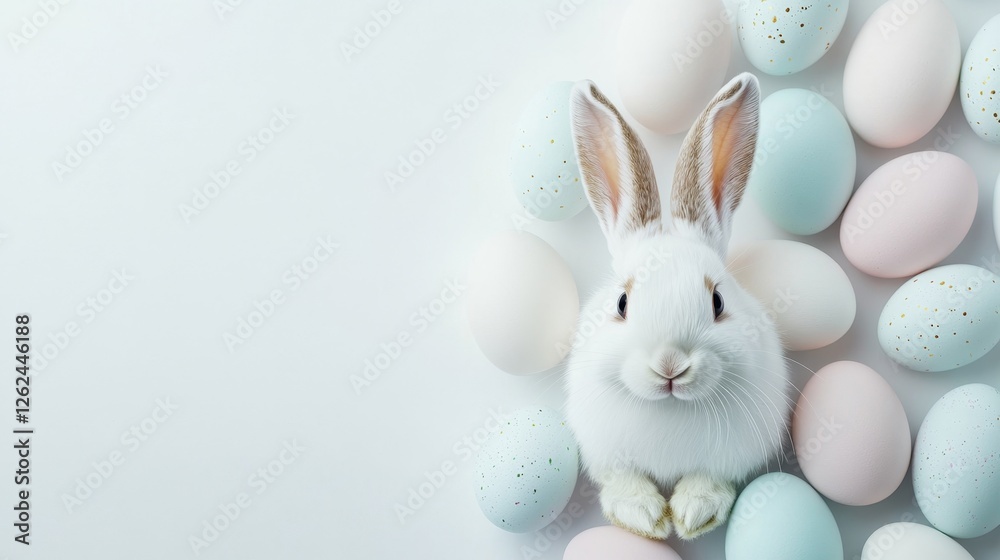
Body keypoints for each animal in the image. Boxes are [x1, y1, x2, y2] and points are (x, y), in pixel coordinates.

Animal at [564, 73, 792, 541]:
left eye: (718, 301)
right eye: (622, 302)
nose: (670, 365)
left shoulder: (730, 457)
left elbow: (709, 481)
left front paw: (692, 514)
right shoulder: (607, 453)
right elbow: (624, 482)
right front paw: (646, 517)